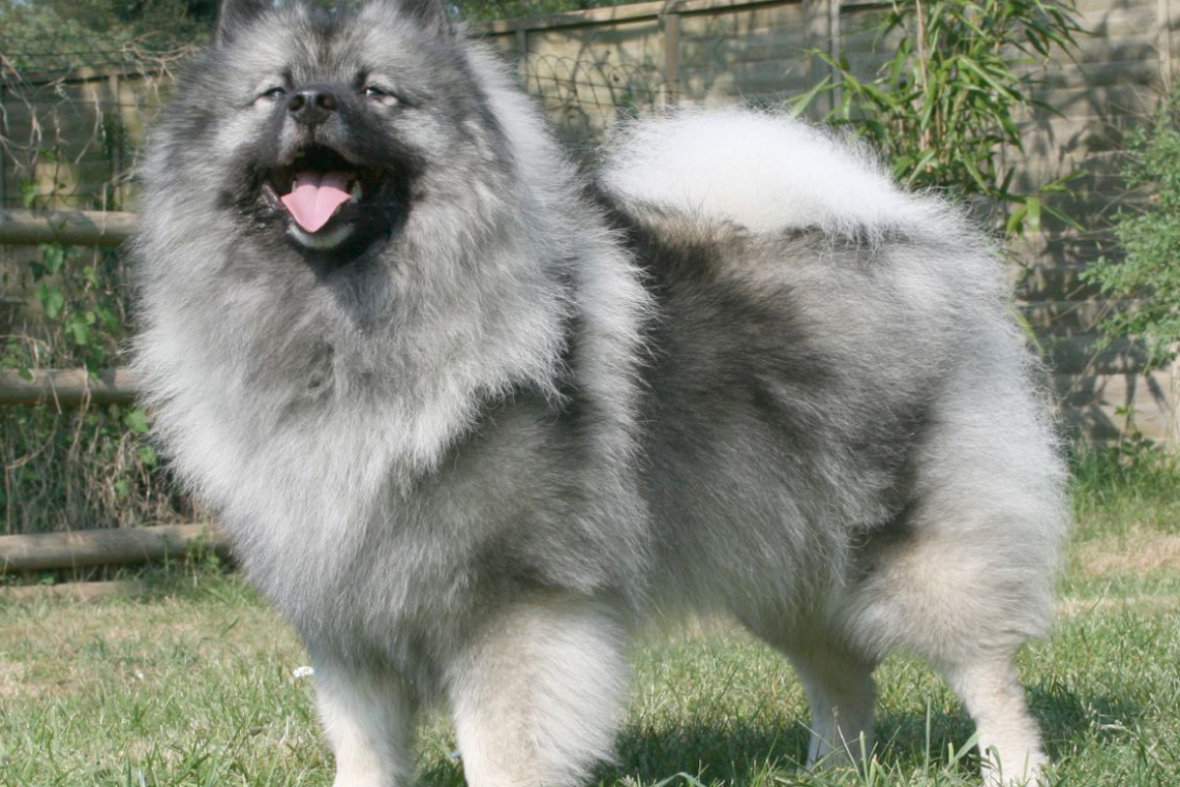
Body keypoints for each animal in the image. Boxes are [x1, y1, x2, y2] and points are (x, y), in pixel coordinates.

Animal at [135, 1, 1071, 787]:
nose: (312, 103)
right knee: (844, 674)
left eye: (375, 91)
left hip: (914, 549)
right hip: (783, 558)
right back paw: (832, 771)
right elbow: (363, 752)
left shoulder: (513, 606)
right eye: (274, 91)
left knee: (985, 666)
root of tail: (899, 234)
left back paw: (1014, 767)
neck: (342, 329)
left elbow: (502, 750)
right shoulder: (347, 623)